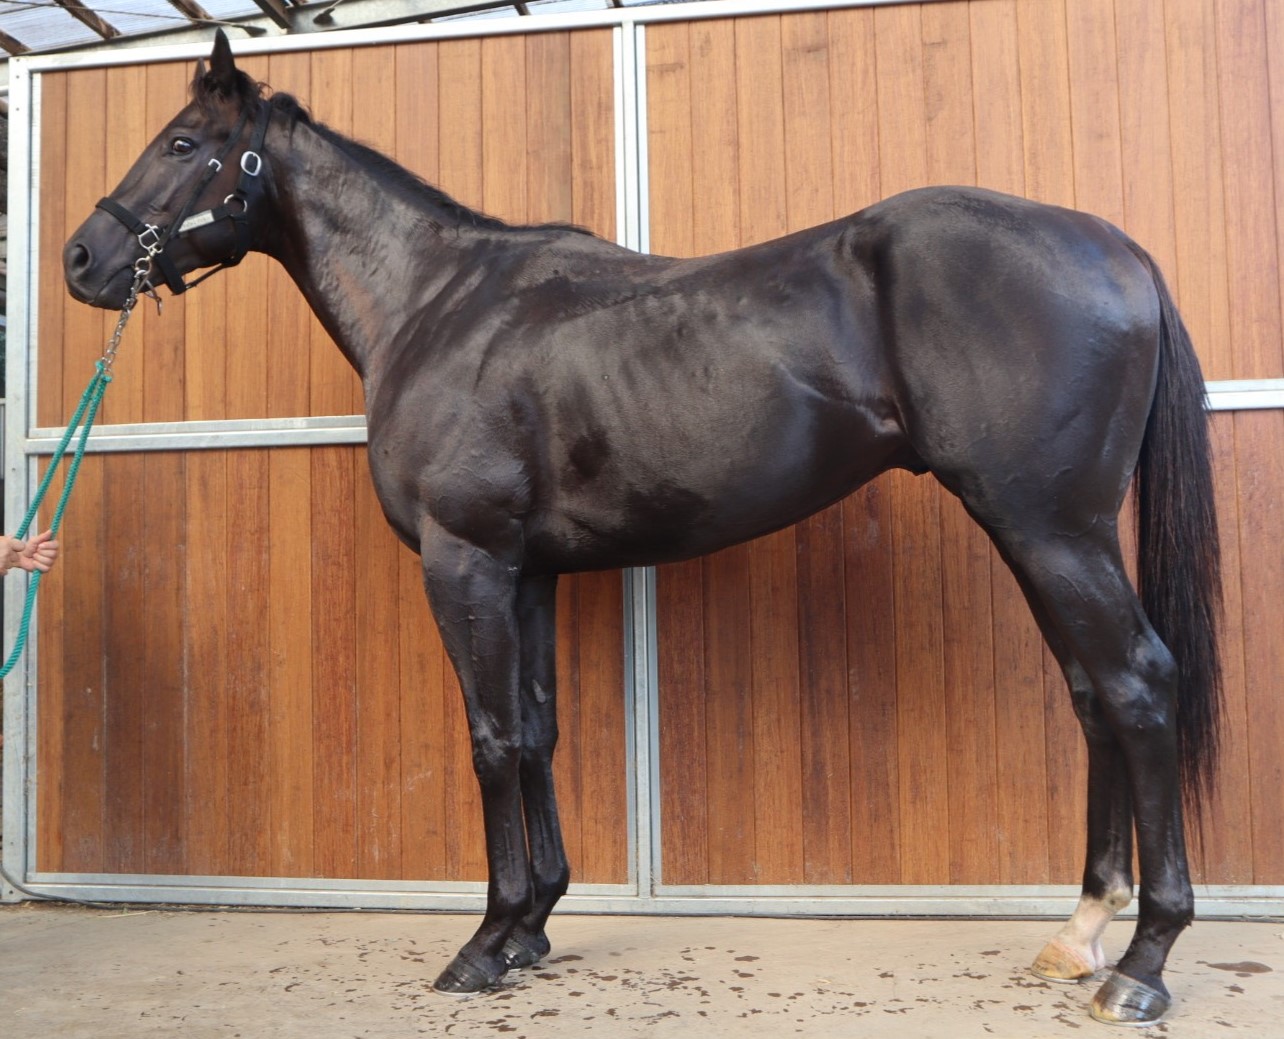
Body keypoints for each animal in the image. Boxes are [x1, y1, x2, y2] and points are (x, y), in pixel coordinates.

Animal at [63, 31, 1222, 1027]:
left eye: (182, 144)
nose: (81, 259)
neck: (438, 303)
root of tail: (1117, 249)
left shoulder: (464, 562)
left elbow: (491, 739)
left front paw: (483, 943)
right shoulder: (527, 572)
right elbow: (538, 729)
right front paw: (533, 925)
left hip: (1051, 528)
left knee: (1137, 685)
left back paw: (1141, 964)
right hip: (1044, 532)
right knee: (1092, 696)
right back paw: (1079, 932)